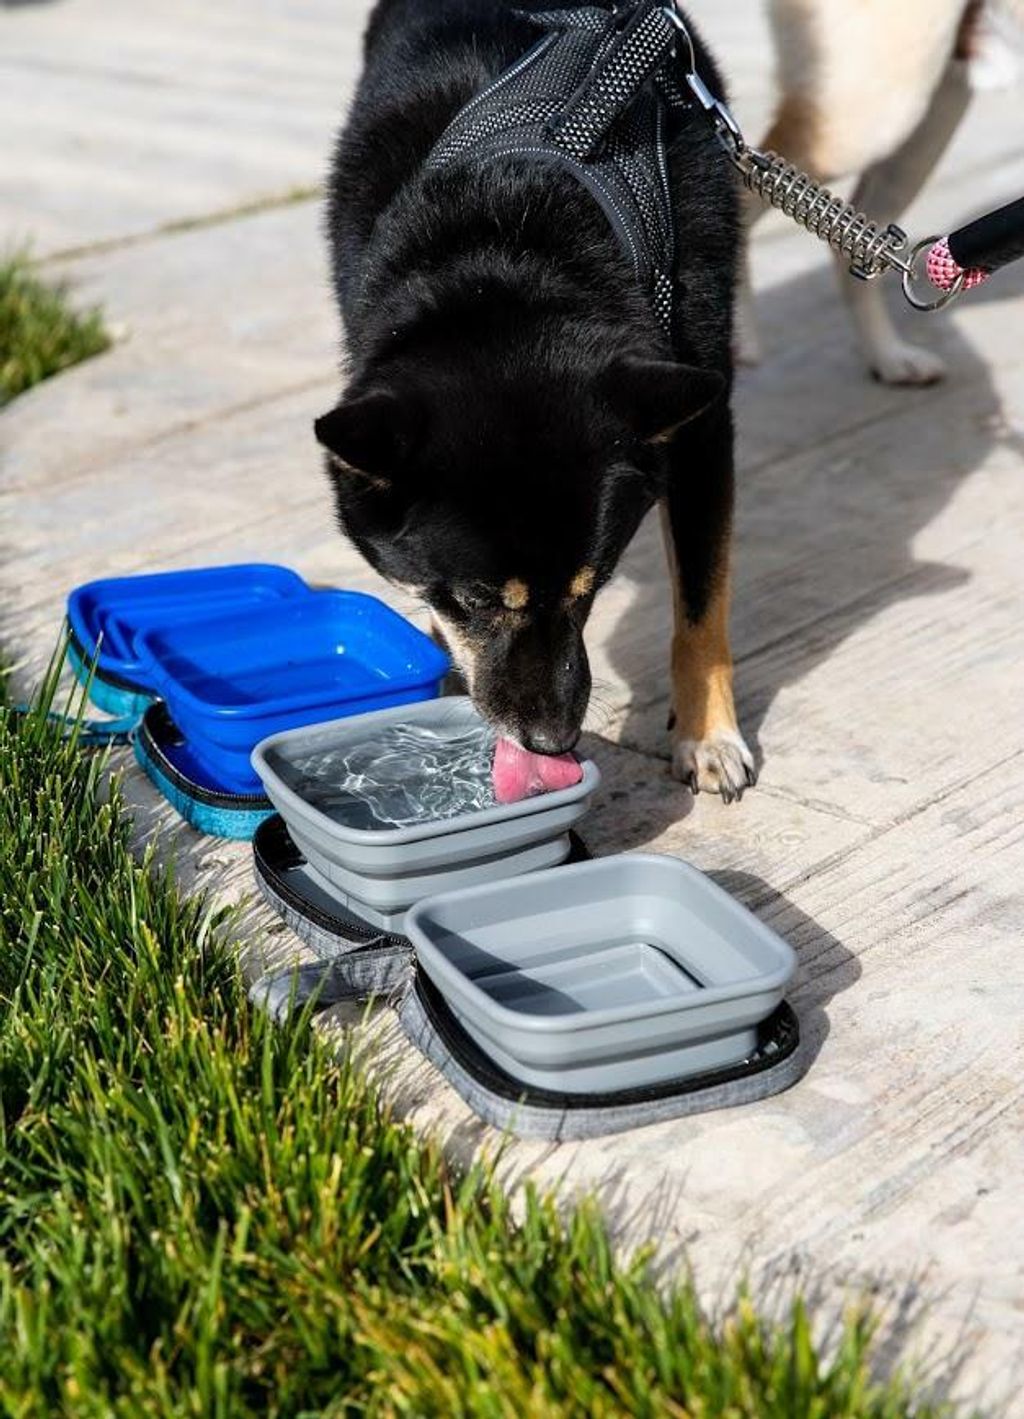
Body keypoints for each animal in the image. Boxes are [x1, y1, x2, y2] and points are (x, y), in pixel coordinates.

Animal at [314, 0, 754, 800]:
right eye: (477, 600)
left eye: (593, 584)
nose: (553, 741)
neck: (510, 240)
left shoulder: (703, 425)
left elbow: (703, 601)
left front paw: (708, 735)